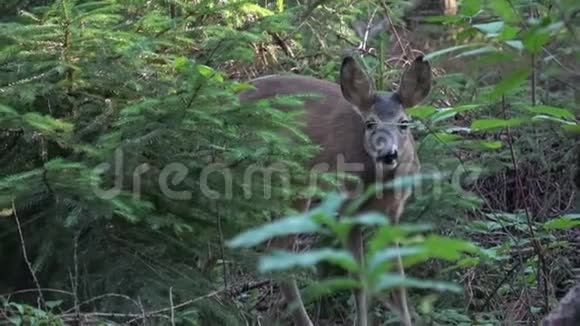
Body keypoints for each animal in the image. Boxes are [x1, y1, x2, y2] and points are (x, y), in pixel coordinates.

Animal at [238, 54, 432, 326]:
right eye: (370, 123)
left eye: (404, 123)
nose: (388, 154)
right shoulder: (346, 208)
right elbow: (358, 279)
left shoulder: (392, 213)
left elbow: (398, 279)